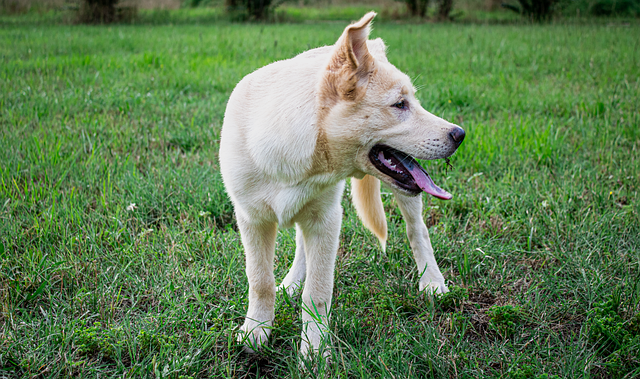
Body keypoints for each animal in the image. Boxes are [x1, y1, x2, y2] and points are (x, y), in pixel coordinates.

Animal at [220, 11, 464, 356]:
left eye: (412, 102)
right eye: (400, 105)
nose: (460, 134)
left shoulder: (327, 220)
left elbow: (318, 292)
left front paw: (314, 352)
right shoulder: (252, 219)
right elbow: (260, 280)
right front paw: (256, 332)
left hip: (401, 196)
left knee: (418, 231)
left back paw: (432, 281)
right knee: (300, 244)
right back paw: (291, 283)